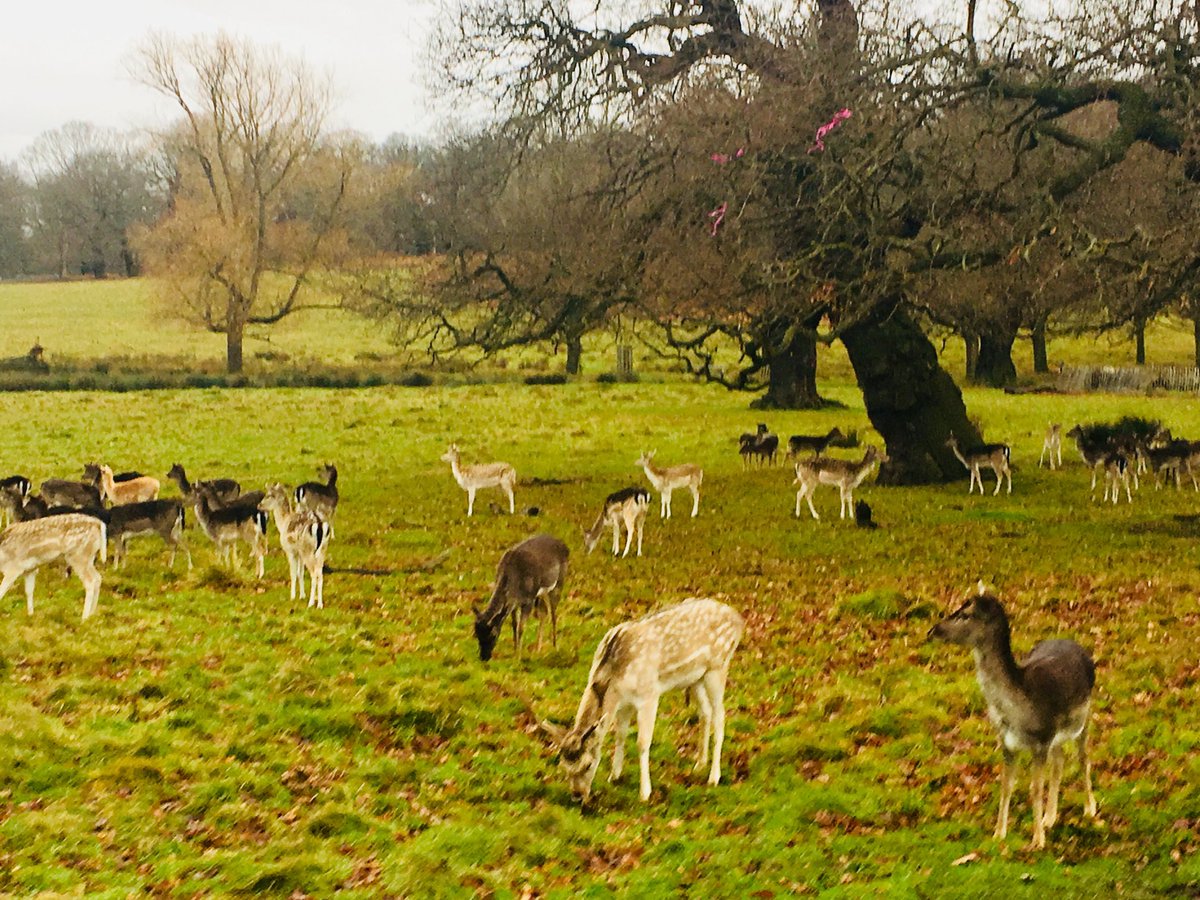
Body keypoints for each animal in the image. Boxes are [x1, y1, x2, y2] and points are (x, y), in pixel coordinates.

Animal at [537, 597, 744, 803]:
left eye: (588, 764)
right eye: (563, 766)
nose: (577, 796)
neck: (615, 679)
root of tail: (738, 618)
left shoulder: (649, 695)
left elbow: (642, 743)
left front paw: (645, 793)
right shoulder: (623, 703)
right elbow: (620, 734)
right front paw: (614, 776)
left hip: (717, 667)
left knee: (720, 716)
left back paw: (713, 777)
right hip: (695, 678)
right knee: (705, 712)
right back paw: (700, 763)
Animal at [928, 589, 1097, 850]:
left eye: (966, 614)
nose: (933, 630)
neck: (1017, 711)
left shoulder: (1041, 741)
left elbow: (1035, 788)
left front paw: (1038, 840)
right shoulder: (1007, 742)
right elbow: (1006, 785)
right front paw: (999, 833)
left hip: (1083, 718)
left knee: (1083, 758)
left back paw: (1089, 808)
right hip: (1058, 736)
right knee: (1059, 762)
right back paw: (1050, 817)